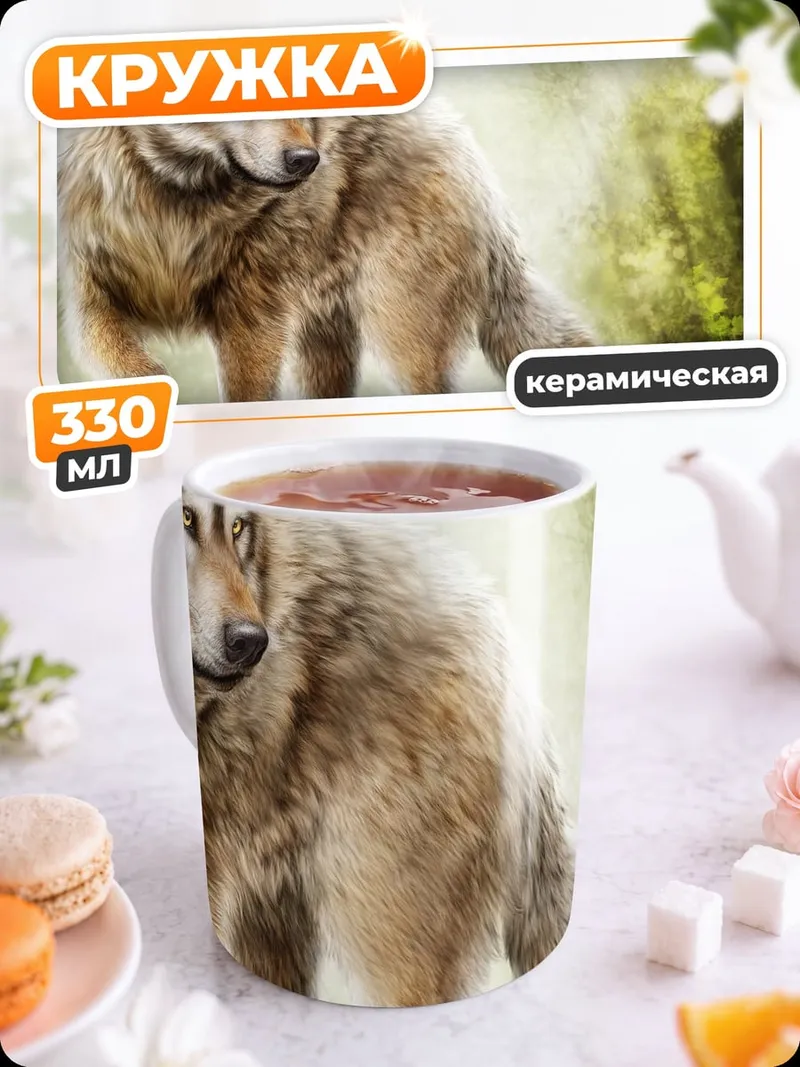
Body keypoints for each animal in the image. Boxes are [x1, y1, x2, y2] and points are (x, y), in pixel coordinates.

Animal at [58, 107, 593, 404]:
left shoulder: (252, 323)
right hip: (324, 343)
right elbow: (121, 361)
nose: (307, 161)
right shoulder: (87, 295)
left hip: (398, 338)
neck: (175, 201)